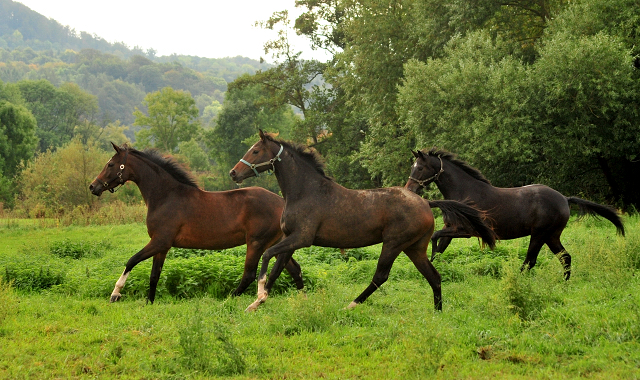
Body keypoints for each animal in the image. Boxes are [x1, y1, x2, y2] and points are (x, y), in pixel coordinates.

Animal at [88, 142, 304, 302]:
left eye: (110, 164)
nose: (93, 186)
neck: (166, 196)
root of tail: (282, 202)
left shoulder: (159, 241)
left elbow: (131, 261)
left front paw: (115, 294)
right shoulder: (162, 247)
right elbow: (154, 275)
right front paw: (149, 302)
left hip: (257, 243)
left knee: (249, 274)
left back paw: (229, 300)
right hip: (273, 243)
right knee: (294, 269)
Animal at [229, 132, 496, 310]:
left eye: (255, 151)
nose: (233, 173)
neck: (305, 191)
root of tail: (425, 203)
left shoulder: (301, 238)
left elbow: (266, 257)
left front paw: (259, 292)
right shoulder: (289, 239)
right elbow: (278, 268)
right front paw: (257, 302)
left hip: (393, 244)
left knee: (381, 276)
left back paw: (352, 304)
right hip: (414, 248)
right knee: (434, 277)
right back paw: (437, 313)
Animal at [404, 148, 624, 280]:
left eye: (420, 167)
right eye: (413, 167)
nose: (409, 189)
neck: (464, 193)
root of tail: (564, 198)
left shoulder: (466, 231)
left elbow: (434, 236)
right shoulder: (451, 228)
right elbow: (440, 247)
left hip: (539, 234)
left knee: (530, 261)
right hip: (551, 235)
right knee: (565, 257)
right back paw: (564, 282)